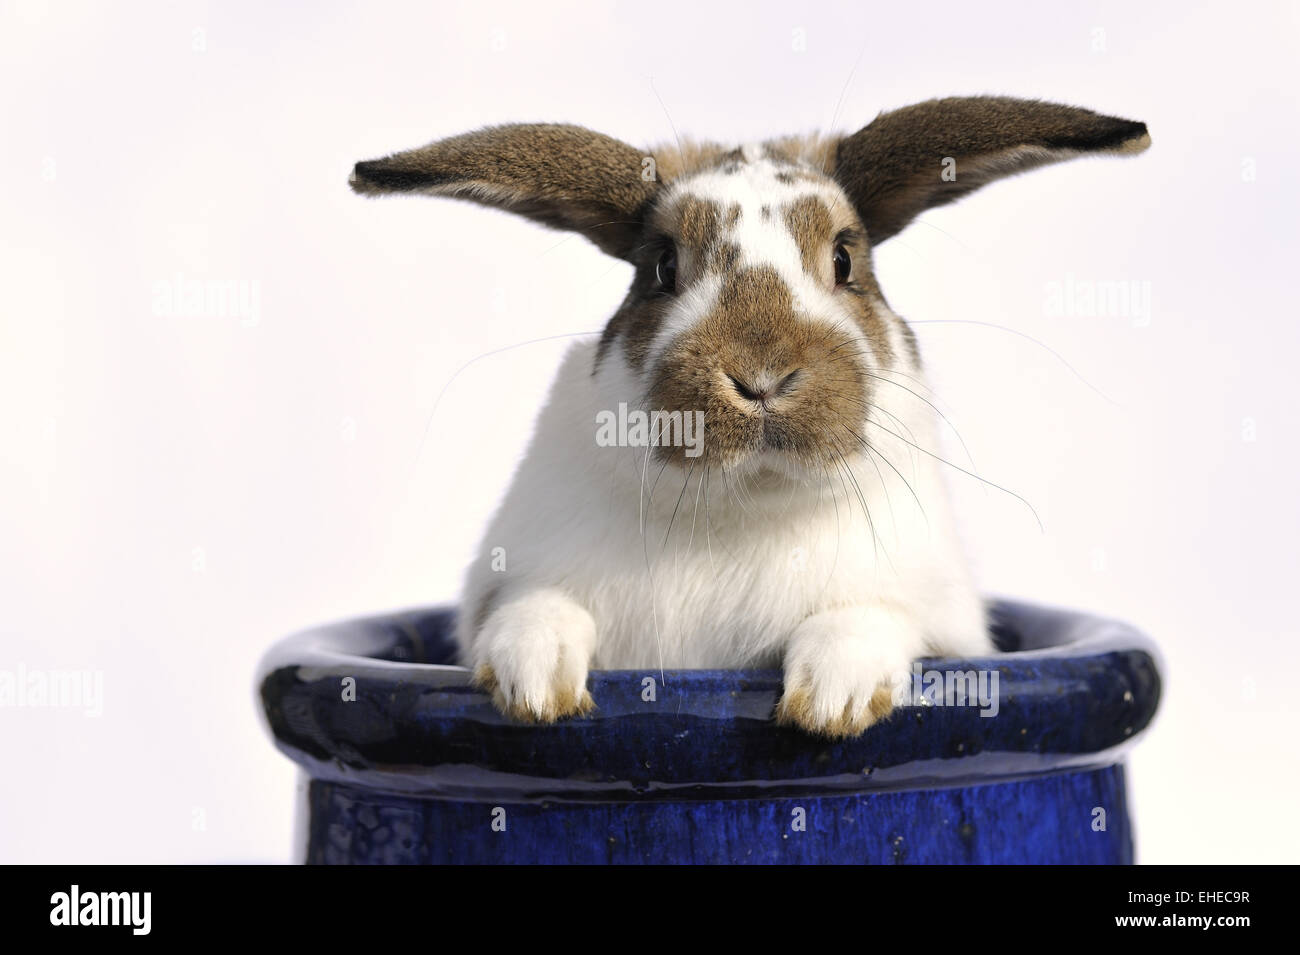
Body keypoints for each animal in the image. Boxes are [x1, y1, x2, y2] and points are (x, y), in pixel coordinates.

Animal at [350, 96, 1150, 737]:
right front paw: (535, 681)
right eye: (662, 267)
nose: (762, 378)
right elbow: (531, 605)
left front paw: (832, 700)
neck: (745, 505)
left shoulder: (936, 618)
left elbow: (871, 618)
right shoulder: (506, 583)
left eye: (845, 260)